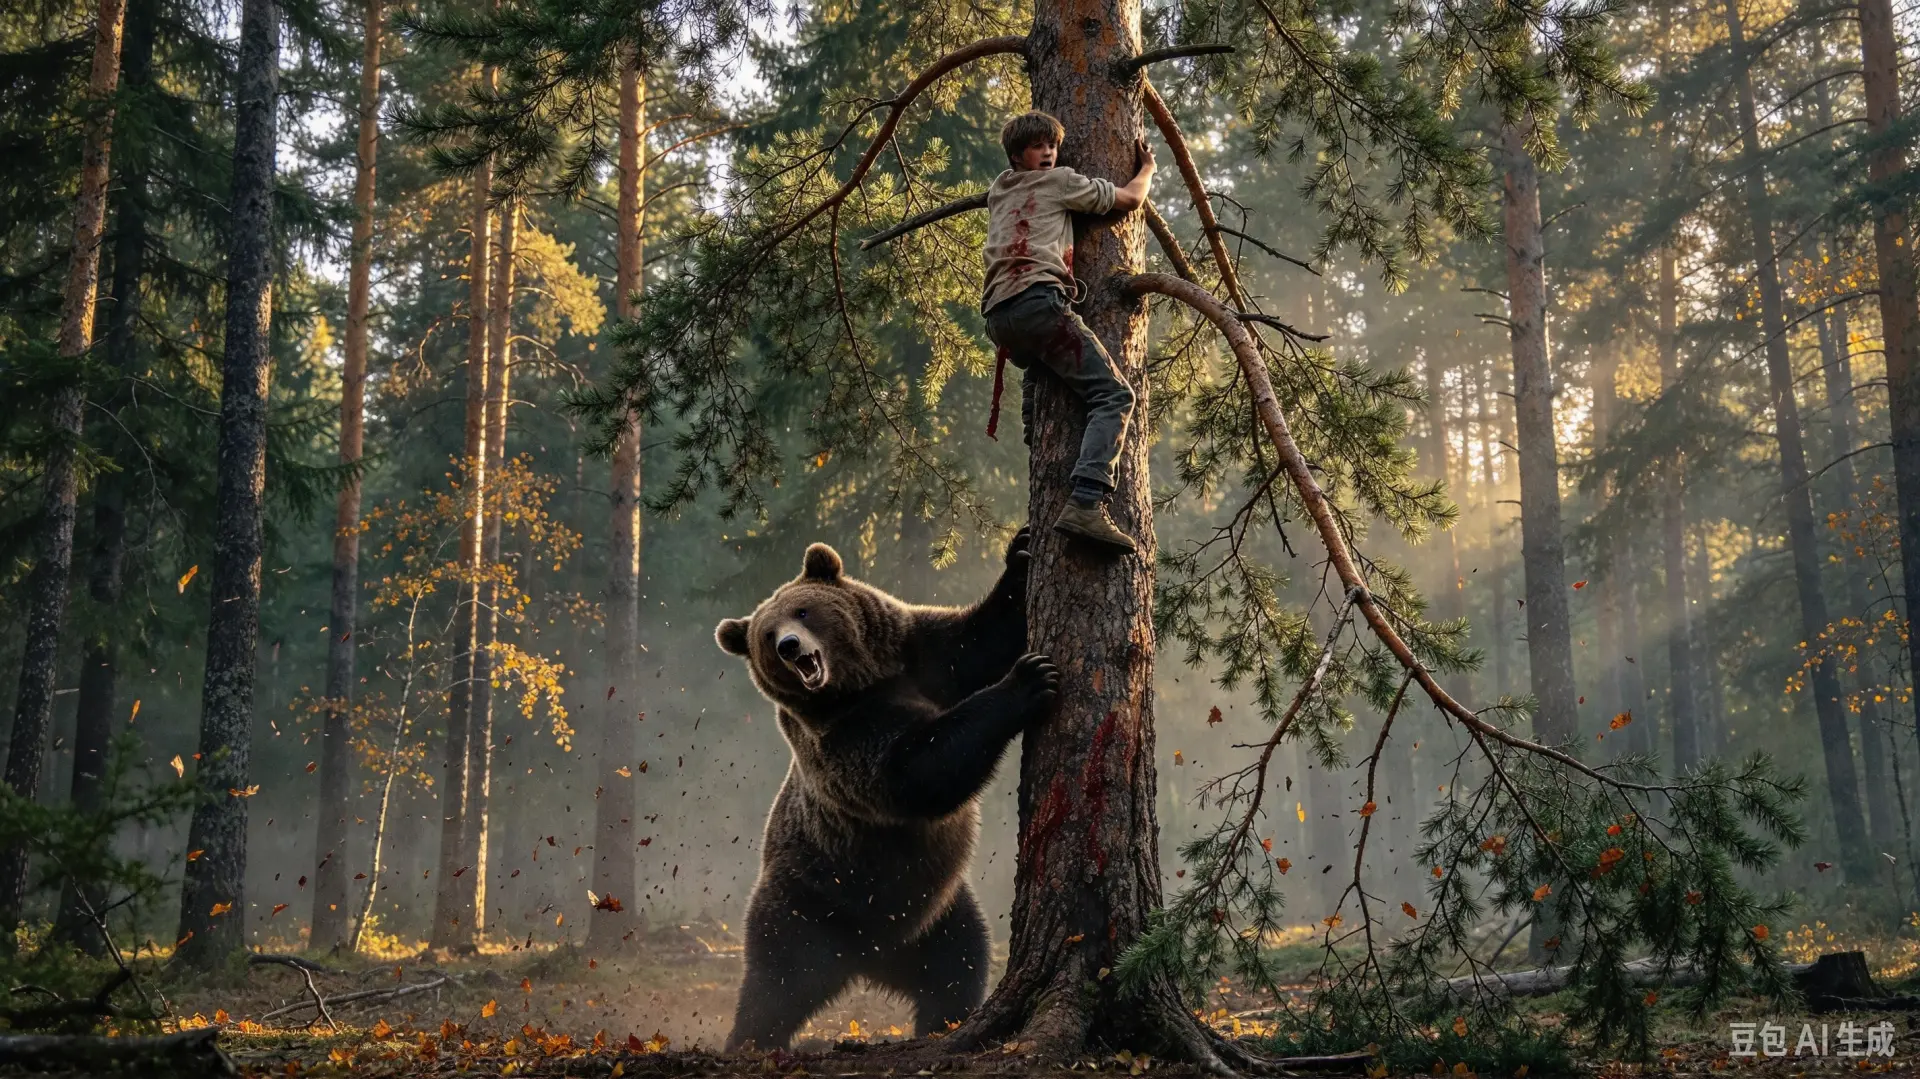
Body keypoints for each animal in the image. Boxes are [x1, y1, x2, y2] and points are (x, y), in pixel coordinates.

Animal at [713, 528, 1058, 1050]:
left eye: (802, 611)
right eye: (766, 636)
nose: (791, 647)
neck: (860, 685)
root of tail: (869, 958)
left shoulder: (923, 655)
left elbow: (981, 640)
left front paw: (1019, 554)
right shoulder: (843, 740)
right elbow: (914, 771)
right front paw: (1029, 679)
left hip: (932, 913)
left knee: (958, 960)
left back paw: (945, 1023)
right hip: (809, 903)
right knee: (775, 983)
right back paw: (750, 1042)